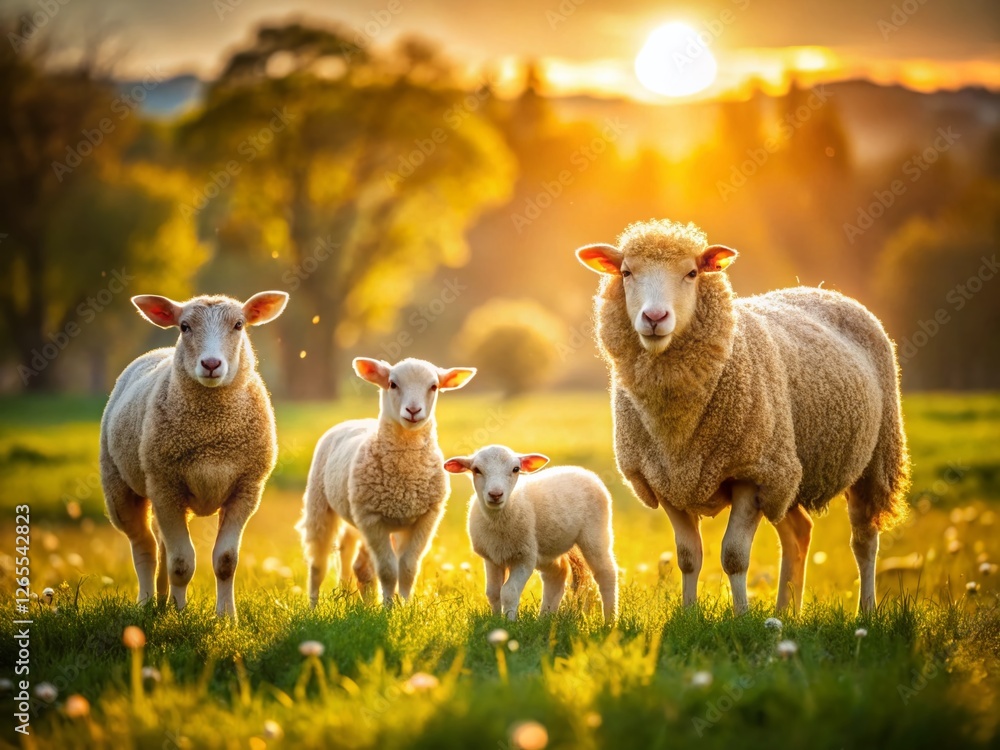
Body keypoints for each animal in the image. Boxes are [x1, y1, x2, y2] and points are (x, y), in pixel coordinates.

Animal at [100, 291, 289, 619]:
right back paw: (147, 602)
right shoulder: (166, 486)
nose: (211, 363)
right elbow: (181, 563)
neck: (212, 435)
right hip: (120, 485)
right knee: (145, 546)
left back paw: (162, 600)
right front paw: (179, 615)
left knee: (161, 544)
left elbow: (225, 561)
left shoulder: (246, 489)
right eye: (185, 326)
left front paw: (226, 617)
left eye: (239, 324)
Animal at [298, 357, 476, 607]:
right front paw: (389, 608)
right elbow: (388, 570)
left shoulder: (424, 518)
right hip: (320, 504)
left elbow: (408, 568)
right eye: (392, 384)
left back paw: (353, 598)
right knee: (318, 563)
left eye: (433, 387)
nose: (413, 411)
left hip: (356, 515)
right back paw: (313, 606)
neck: (405, 477)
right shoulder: (372, 519)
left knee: (353, 560)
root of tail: (354, 421)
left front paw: (404, 605)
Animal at [444, 445, 618, 621]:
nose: (495, 494)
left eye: (515, 469)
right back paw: (545, 618)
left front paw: (509, 622)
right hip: (548, 547)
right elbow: (493, 593)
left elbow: (509, 592)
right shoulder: (492, 557)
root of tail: (583, 471)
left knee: (606, 574)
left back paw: (610, 620)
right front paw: (496, 620)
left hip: (595, 534)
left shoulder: (524, 558)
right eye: (476, 470)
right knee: (557, 574)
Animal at [576, 219, 910, 614]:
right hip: (785, 470)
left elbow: (734, 556)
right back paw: (785, 613)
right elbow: (688, 557)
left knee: (864, 539)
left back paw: (866, 609)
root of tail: (825, 291)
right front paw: (689, 614)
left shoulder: (750, 473)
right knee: (799, 533)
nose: (655, 318)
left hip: (869, 460)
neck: (676, 431)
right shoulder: (666, 480)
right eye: (626, 272)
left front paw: (741, 615)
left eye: (692, 273)